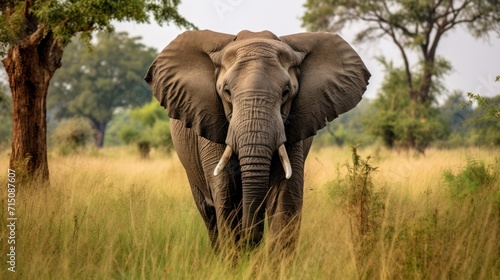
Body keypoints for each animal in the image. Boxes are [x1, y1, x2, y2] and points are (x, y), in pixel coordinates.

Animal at [143, 29, 370, 250]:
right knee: (209, 214)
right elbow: (226, 193)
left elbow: (285, 197)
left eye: (286, 92)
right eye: (226, 91)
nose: (252, 239)